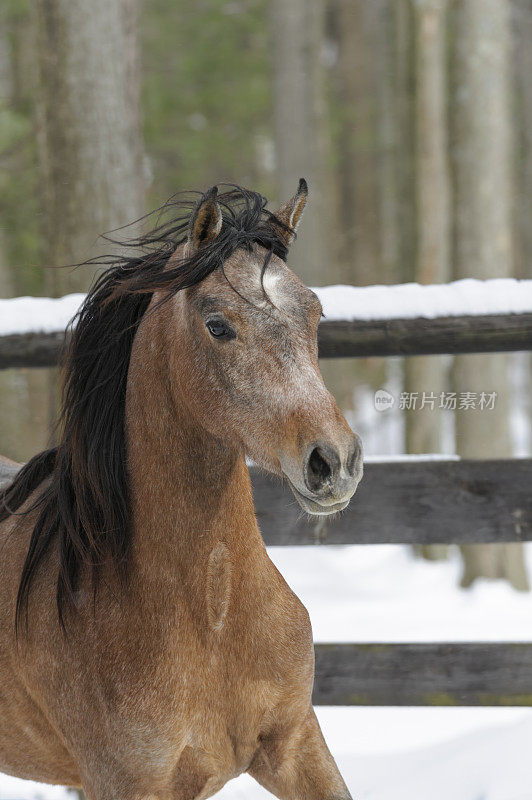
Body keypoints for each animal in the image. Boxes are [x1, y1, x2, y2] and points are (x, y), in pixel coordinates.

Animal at [0, 184, 362, 800]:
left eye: (314, 314)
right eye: (217, 325)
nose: (334, 461)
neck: (210, 618)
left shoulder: (294, 742)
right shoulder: (128, 783)